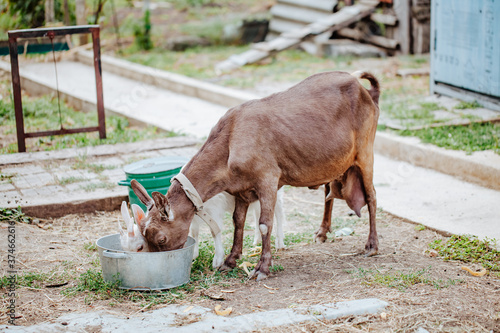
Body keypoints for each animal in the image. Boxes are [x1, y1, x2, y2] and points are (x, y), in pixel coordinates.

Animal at [131, 70, 380, 280]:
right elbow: (238, 221)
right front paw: (230, 261)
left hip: (365, 151)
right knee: (329, 191)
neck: (231, 139)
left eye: (161, 238)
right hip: (336, 162)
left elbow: (264, 224)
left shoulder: (267, 180)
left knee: (371, 196)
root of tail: (366, 90)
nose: (159, 267)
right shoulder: (241, 189)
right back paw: (322, 233)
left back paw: (372, 246)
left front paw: (262, 268)